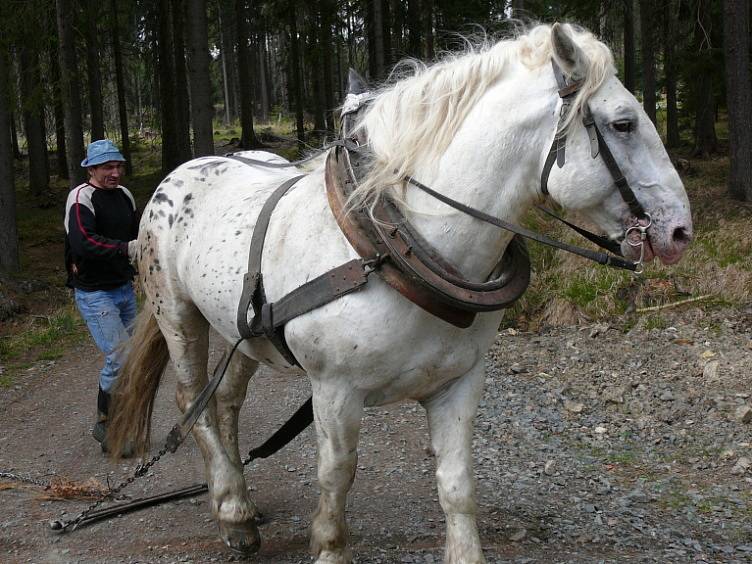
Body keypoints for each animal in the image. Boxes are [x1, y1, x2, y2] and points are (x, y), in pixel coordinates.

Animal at [108, 25, 692, 564]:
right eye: (623, 123)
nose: (681, 231)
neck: (395, 247)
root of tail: (177, 176)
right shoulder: (334, 390)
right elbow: (336, 476)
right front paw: (329, 548)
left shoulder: (458, 384)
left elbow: (457, 485)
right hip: (179, 316)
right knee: (194, 403)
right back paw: (230, 510)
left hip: (243, 333)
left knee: (226, 401)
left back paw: (243, 507)